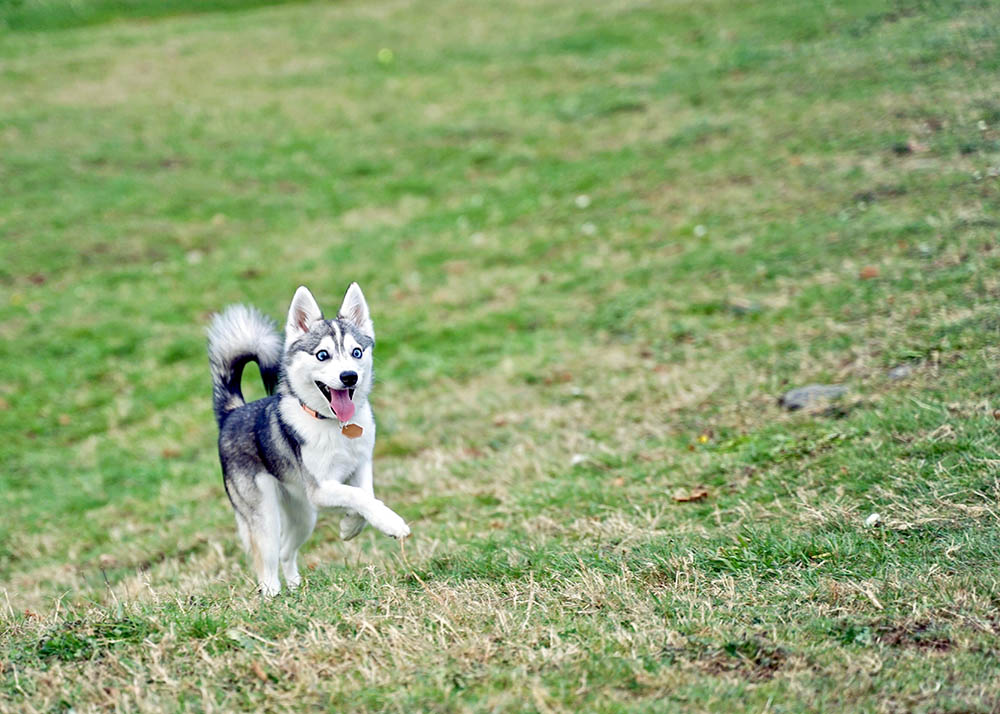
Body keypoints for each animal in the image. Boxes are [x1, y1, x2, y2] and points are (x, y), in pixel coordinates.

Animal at [207, 280, 410, 592]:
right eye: (322, 355)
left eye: (356, 352)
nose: (349, 376)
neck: (335, 425)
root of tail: (232, 413)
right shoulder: (320, 489)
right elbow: (358, 496)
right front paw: (391, 522)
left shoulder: (360, 465)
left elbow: (365, 495)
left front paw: (350, 526)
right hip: (265, 515)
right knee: (266, 562)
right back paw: (273, 594)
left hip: (303, 515)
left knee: (285, 551)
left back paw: (295, 588)